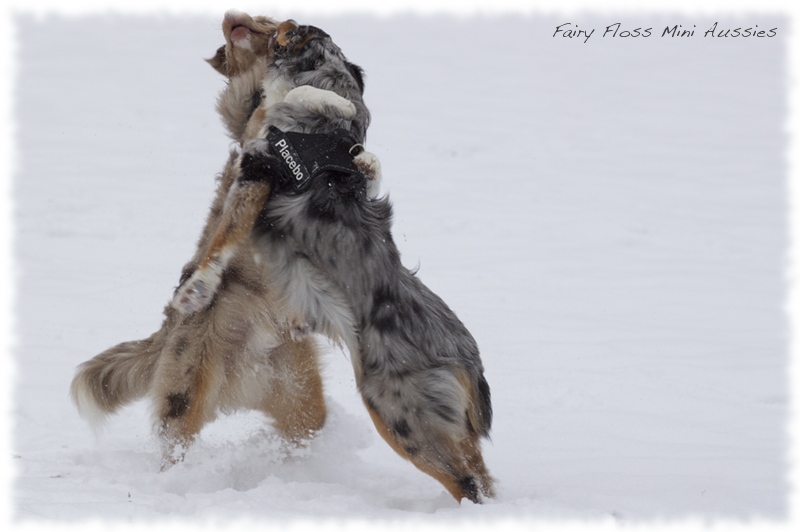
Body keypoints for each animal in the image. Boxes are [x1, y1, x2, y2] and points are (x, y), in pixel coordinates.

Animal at [70, 10, 328, 468]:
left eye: (264, 19)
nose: (230, 16)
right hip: (186, 391)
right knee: (174, 446)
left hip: (298, 392)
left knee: (303, 428)